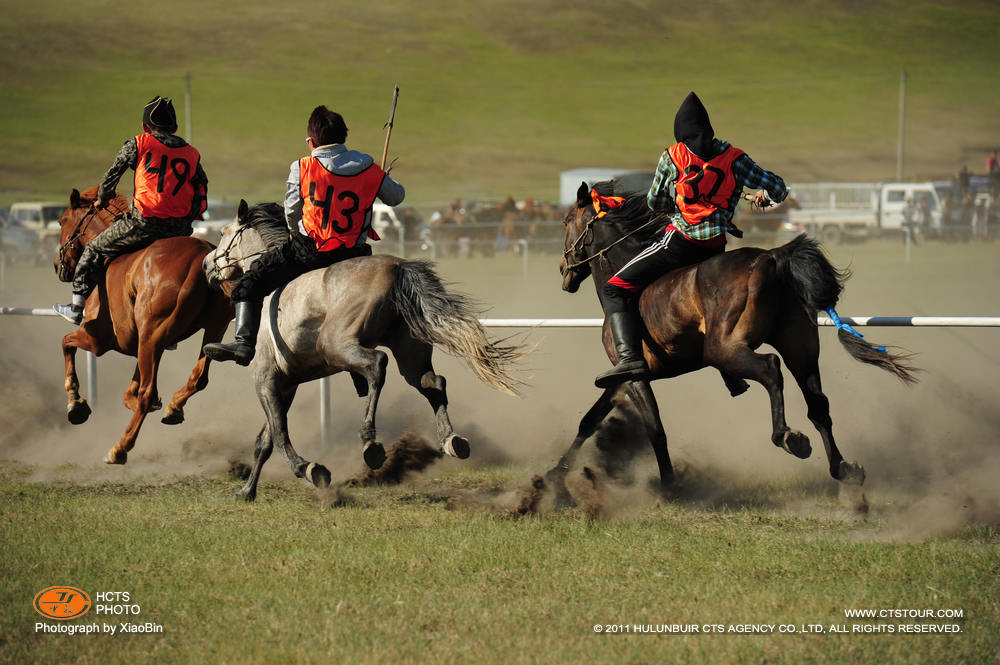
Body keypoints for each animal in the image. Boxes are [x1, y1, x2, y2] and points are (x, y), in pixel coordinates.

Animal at [55, 185, 234, 462]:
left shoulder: (98, 339)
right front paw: (160, 404)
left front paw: (76, 404)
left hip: (152, 335)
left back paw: (119, 448)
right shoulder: (141, 343)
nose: (57, 265)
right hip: (211, 328)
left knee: (147, 393)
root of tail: (199, 260)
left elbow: (66, 343)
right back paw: (173, 407)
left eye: (62, 221)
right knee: (197, 378)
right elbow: (130, 391)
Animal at [206, 200, 528, 500]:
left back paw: (370, 443)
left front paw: (309, 468)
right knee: (431, 382)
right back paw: (452, 440)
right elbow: (266, 439)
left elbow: (279, 433)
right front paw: (247, 491)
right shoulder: (286, 383)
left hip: (336, 345)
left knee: (377, 364)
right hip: (409, 352)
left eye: (222, 233)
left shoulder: (265, 379)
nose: (207, 266)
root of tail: (397, 268)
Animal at [552, 180, 916, 492]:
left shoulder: (635, 376)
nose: (563, 269)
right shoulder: (621, 379)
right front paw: (555, 474)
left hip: (725, 349)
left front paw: (669, 484)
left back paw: (788, 437)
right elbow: (589, 420)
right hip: (800, 350)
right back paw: (842, 468)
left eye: (567, 221)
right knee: (818, 405)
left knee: (770, 369)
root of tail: (769, 257)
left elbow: (655, 429)